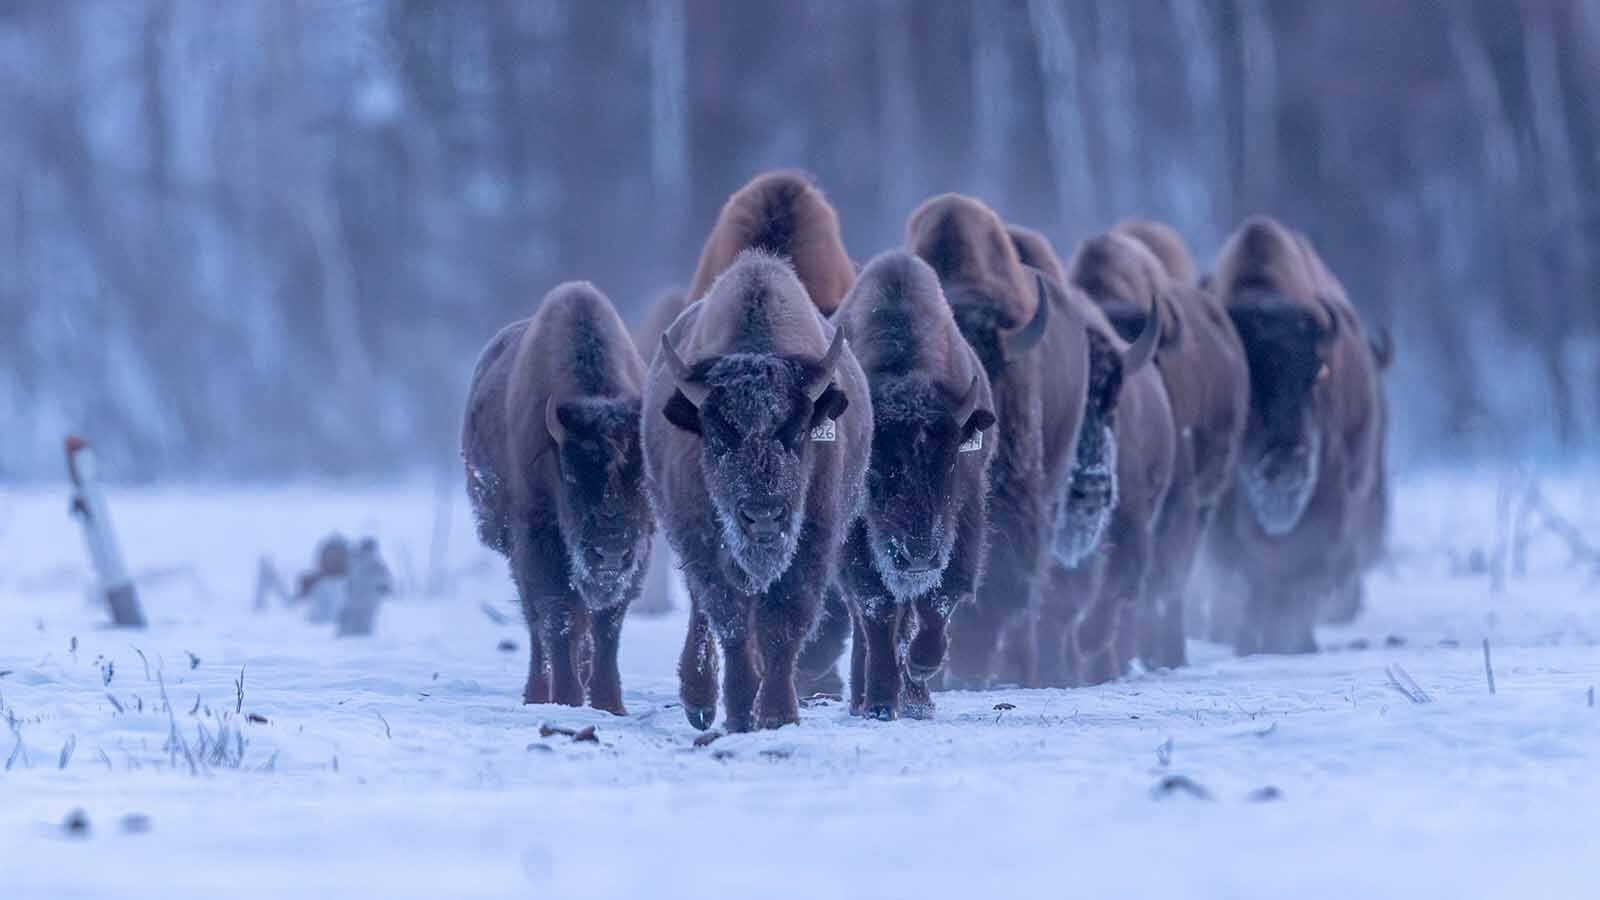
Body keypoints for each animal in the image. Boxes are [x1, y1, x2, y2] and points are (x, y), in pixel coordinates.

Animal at [462, 282, 653, 713]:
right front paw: (567, 698)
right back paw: (537, 694)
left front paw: (609, 704)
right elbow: (557, 617)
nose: (610, 553)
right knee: (537, 621)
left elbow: (607, 625)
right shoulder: (538, 537)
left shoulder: (638, 552)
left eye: (643, 475)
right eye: (571, 475)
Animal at [644, 250, 871, 732]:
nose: (763, 516)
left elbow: (783, 621)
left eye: (797, 431)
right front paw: (740, 710)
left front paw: (778, 714)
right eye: (718, 435)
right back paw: (700, 702)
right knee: (703, 610)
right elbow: (729, 618)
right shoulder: (702, 541)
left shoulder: (813, 540)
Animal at [1207, 216, 1386, 654]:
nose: (1285, 462)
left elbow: (1297, 574)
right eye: (1245, 380)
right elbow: (1247, 575)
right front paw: (1251, 642)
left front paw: (1293, 640)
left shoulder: (1330, 504)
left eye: (1317, 373)